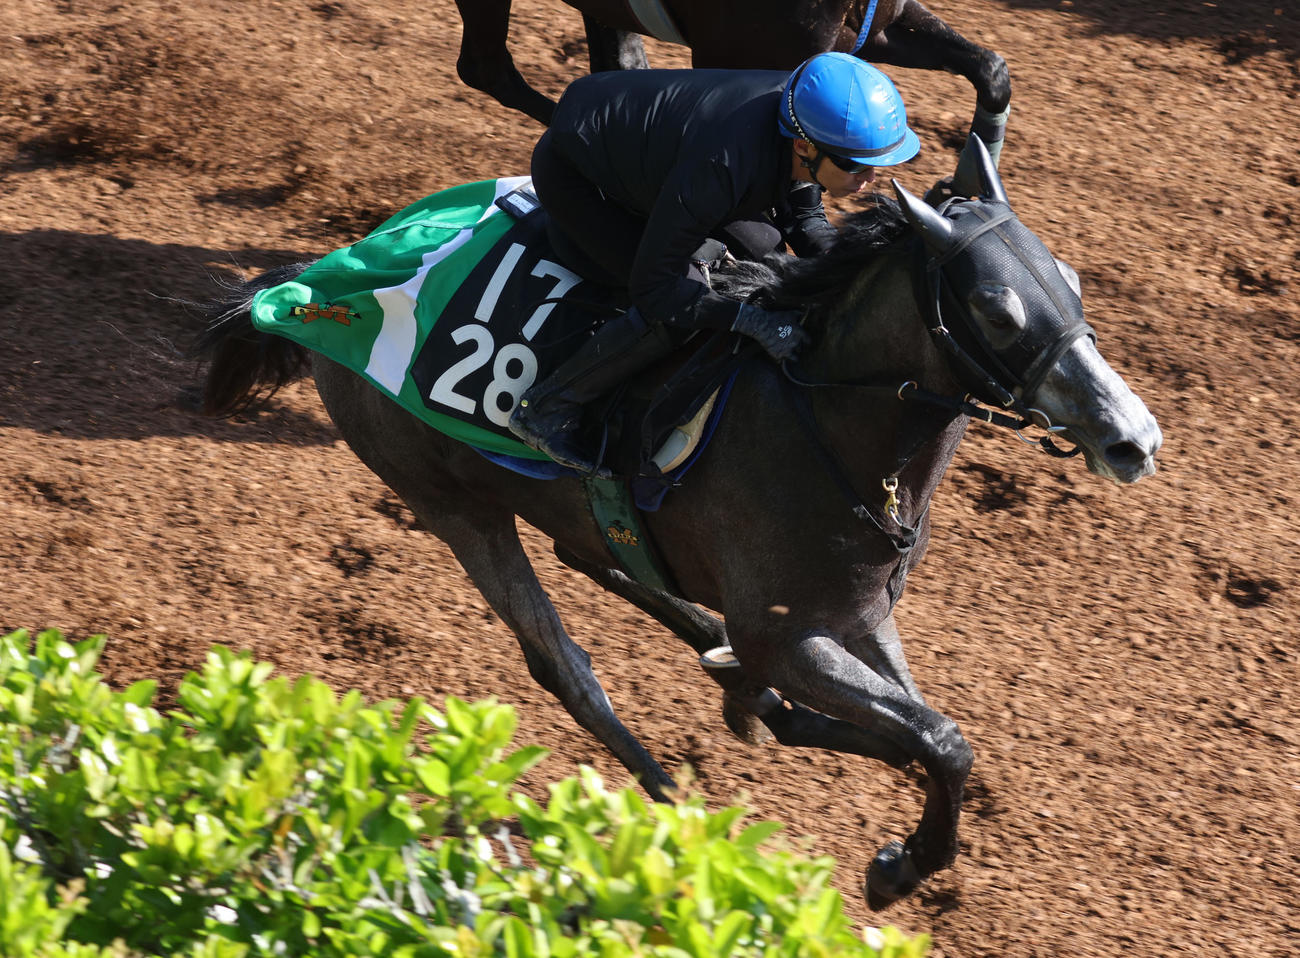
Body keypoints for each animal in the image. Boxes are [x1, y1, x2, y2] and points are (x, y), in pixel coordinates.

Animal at [196, 138, 1160, 906]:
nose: (1133, 438)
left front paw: (874, 821)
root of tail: (318, 276)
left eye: (1072, 281)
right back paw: (674, 817)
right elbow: (941, 739)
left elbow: (929, 733)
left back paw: (734, 688)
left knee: (602, 558)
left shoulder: (858, 613)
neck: (823, 418)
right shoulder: (793, 632)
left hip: (553, 501)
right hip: (452, 504)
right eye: (998, 311)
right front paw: (899, 866)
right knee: (563, 665)